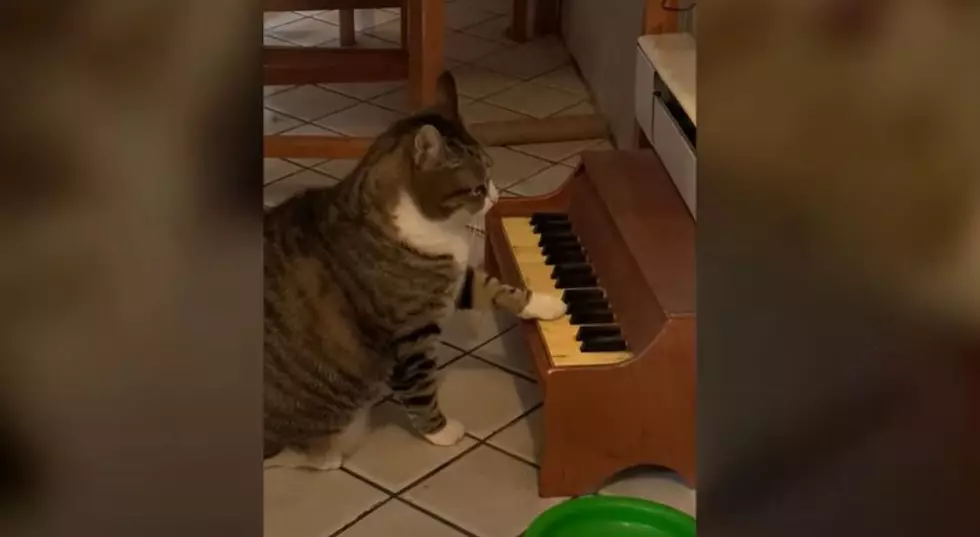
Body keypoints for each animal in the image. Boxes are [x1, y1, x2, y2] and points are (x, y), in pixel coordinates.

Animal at [262, 72, 568, 468]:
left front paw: (545, 304)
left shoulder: (454, 278)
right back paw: (325, 454)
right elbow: (421, 390)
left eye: (491, 171)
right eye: (476, 188)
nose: (498, 198)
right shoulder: (411, 336)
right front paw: (441, 432)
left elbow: (497, 288)